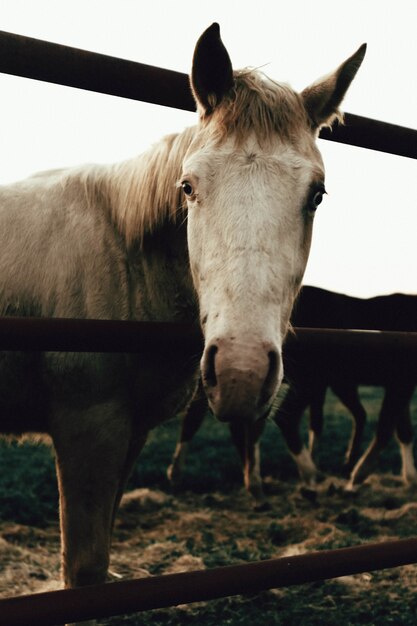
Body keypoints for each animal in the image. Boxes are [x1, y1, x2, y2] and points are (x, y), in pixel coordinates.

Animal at [0, 22, 364, 620]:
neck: (123, 256)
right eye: (189, 187)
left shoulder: (129, 432)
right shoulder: (86, 428)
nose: (240, 373)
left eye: (317, 194)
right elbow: (83, 570)